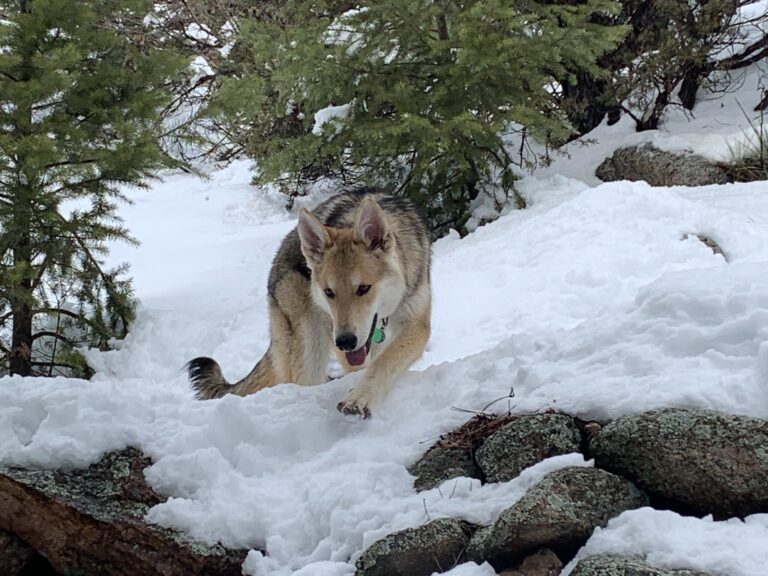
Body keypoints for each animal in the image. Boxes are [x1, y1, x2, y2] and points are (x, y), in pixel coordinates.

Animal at [184, 190, 428, 418]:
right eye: (329, 292)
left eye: (363, 288)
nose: (345, 342)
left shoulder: (416, 325)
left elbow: (385, 362)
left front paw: (360, 397)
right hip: (309, 350)